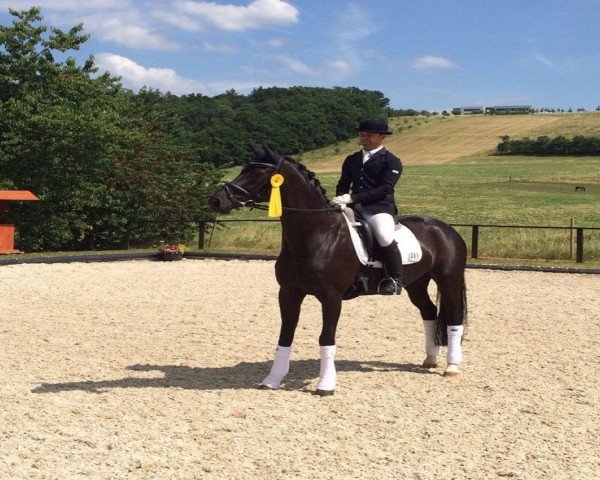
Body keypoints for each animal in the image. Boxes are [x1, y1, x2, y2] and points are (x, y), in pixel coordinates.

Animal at [209, 145, 466, 394]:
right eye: (245, 168)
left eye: (260, 172)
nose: (216, 201)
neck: (318, 234)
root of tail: (447, 229)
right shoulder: (289, 293)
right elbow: (285, 335)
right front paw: (272, 380)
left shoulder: (331, 297)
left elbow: (326, 338)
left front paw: (325, 385)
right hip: (417, 284)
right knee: (429, 312)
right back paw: (430, 359)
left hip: (449, 281)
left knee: (454, 319)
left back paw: (451, 367)